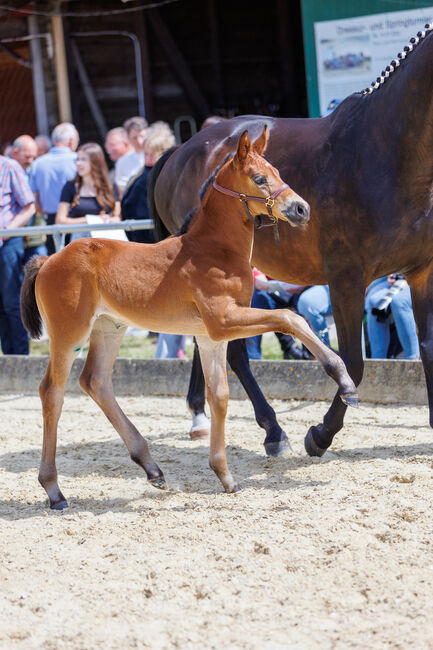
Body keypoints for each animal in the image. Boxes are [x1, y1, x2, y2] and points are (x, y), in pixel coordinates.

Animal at [20, 126, 356, 508]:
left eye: (279, 173)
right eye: (259, 178)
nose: (301, 208)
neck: (213, 250)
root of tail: (48, 259)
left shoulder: (210, 336)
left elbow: (220, 396)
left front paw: (225, 476)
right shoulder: (223, 320)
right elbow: (290, 317)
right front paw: (344, 380)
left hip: (110, 328)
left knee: (95, 381)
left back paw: (152, 467)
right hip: (69, 334)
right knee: (52, 392)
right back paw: (54, 490)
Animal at [151, 25, 432, 456]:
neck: (389, 153)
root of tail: (181, 150)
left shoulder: (421, 272)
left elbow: (429, 348)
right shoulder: (347, 278)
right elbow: (353, 362)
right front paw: (320, 434)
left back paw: (200, 414)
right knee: (234, 350)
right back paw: (272, 429)